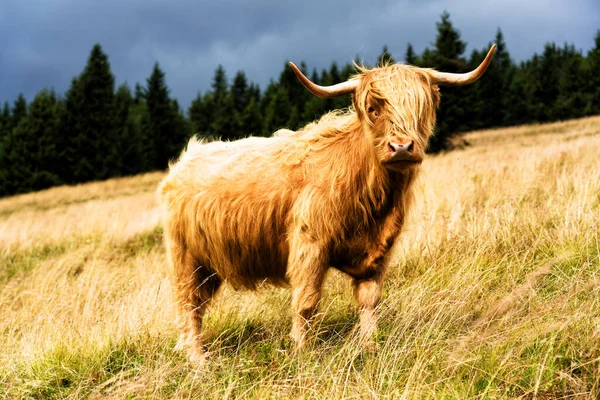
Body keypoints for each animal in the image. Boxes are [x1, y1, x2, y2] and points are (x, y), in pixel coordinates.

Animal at [156, 45, 496, 364]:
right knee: (188, 307)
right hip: (185, 258)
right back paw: (199, 361)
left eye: (422, 107)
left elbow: (370, 301)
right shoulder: (309, 244)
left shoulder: (378, 252)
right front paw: (301, 352)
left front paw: (370, 347)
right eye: (373, 108)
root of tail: (185, 159)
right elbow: (306, 302)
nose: (401, 147)